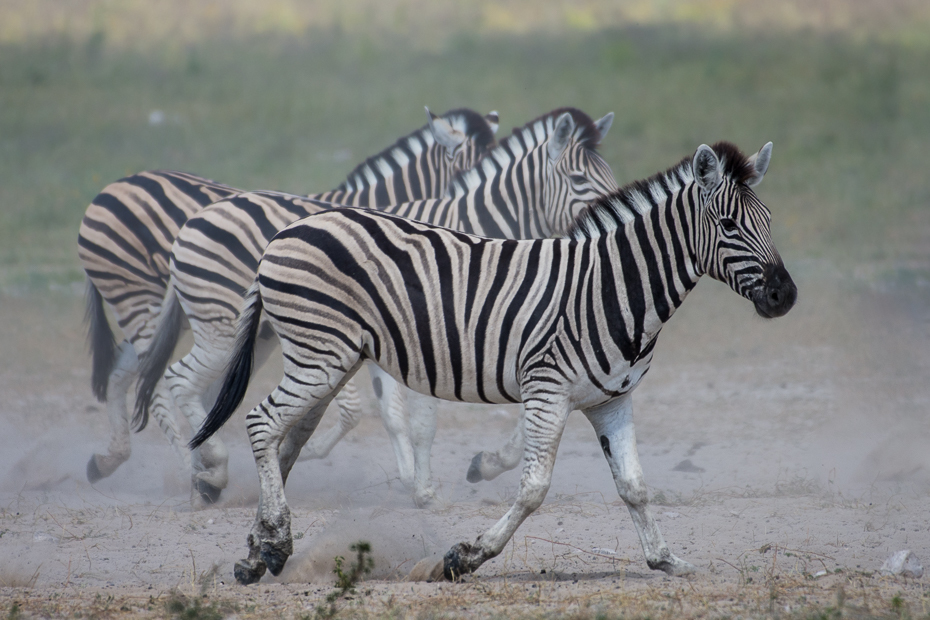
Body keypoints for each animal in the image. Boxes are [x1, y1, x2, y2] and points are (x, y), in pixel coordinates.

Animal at [78, 105, 500, 484]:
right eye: (469, 170)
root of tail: (112, 187)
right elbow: (361, 407)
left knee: (124, 373)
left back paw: (110, 460)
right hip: (143, 300)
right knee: (155, 384)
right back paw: (193, 470)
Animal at [134, 106, 616, 504]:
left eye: (610, 175)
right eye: (579, 181)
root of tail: (196, 218)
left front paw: (476, 466)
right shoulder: (437, 335)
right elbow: (417, 419)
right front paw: (424, 489)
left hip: (261, 337)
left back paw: (207, 474)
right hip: (222, 328)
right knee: (178, 380)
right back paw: (210, 469)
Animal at [190, 138, 796, 584]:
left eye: (769, 221)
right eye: (730, 227)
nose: (784, 296)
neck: (612, 287)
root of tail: (285, 231)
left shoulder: (612, 400)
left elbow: (635, 486)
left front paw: (666, 559)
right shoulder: (547, 389)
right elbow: (532, 488)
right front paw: (465, 556)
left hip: (327, 359)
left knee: (286, 440)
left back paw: (261, 551)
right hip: (319, 356)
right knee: (261, 422)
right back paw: (272, 541)